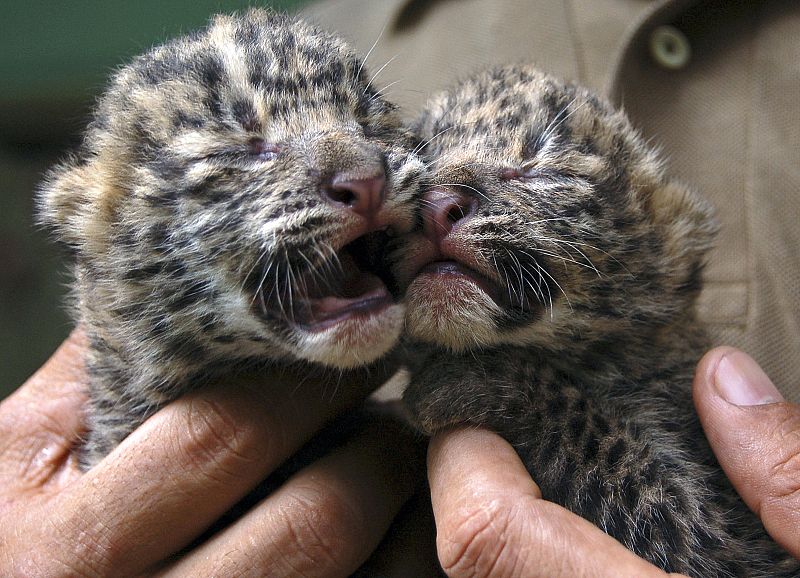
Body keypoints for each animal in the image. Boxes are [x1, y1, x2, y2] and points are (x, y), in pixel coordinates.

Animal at [394, 64, 799, 577]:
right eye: (416, 156)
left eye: (543, 170)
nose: (434, 204)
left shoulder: (730, 541)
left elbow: (599, 442)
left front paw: (468, 379)